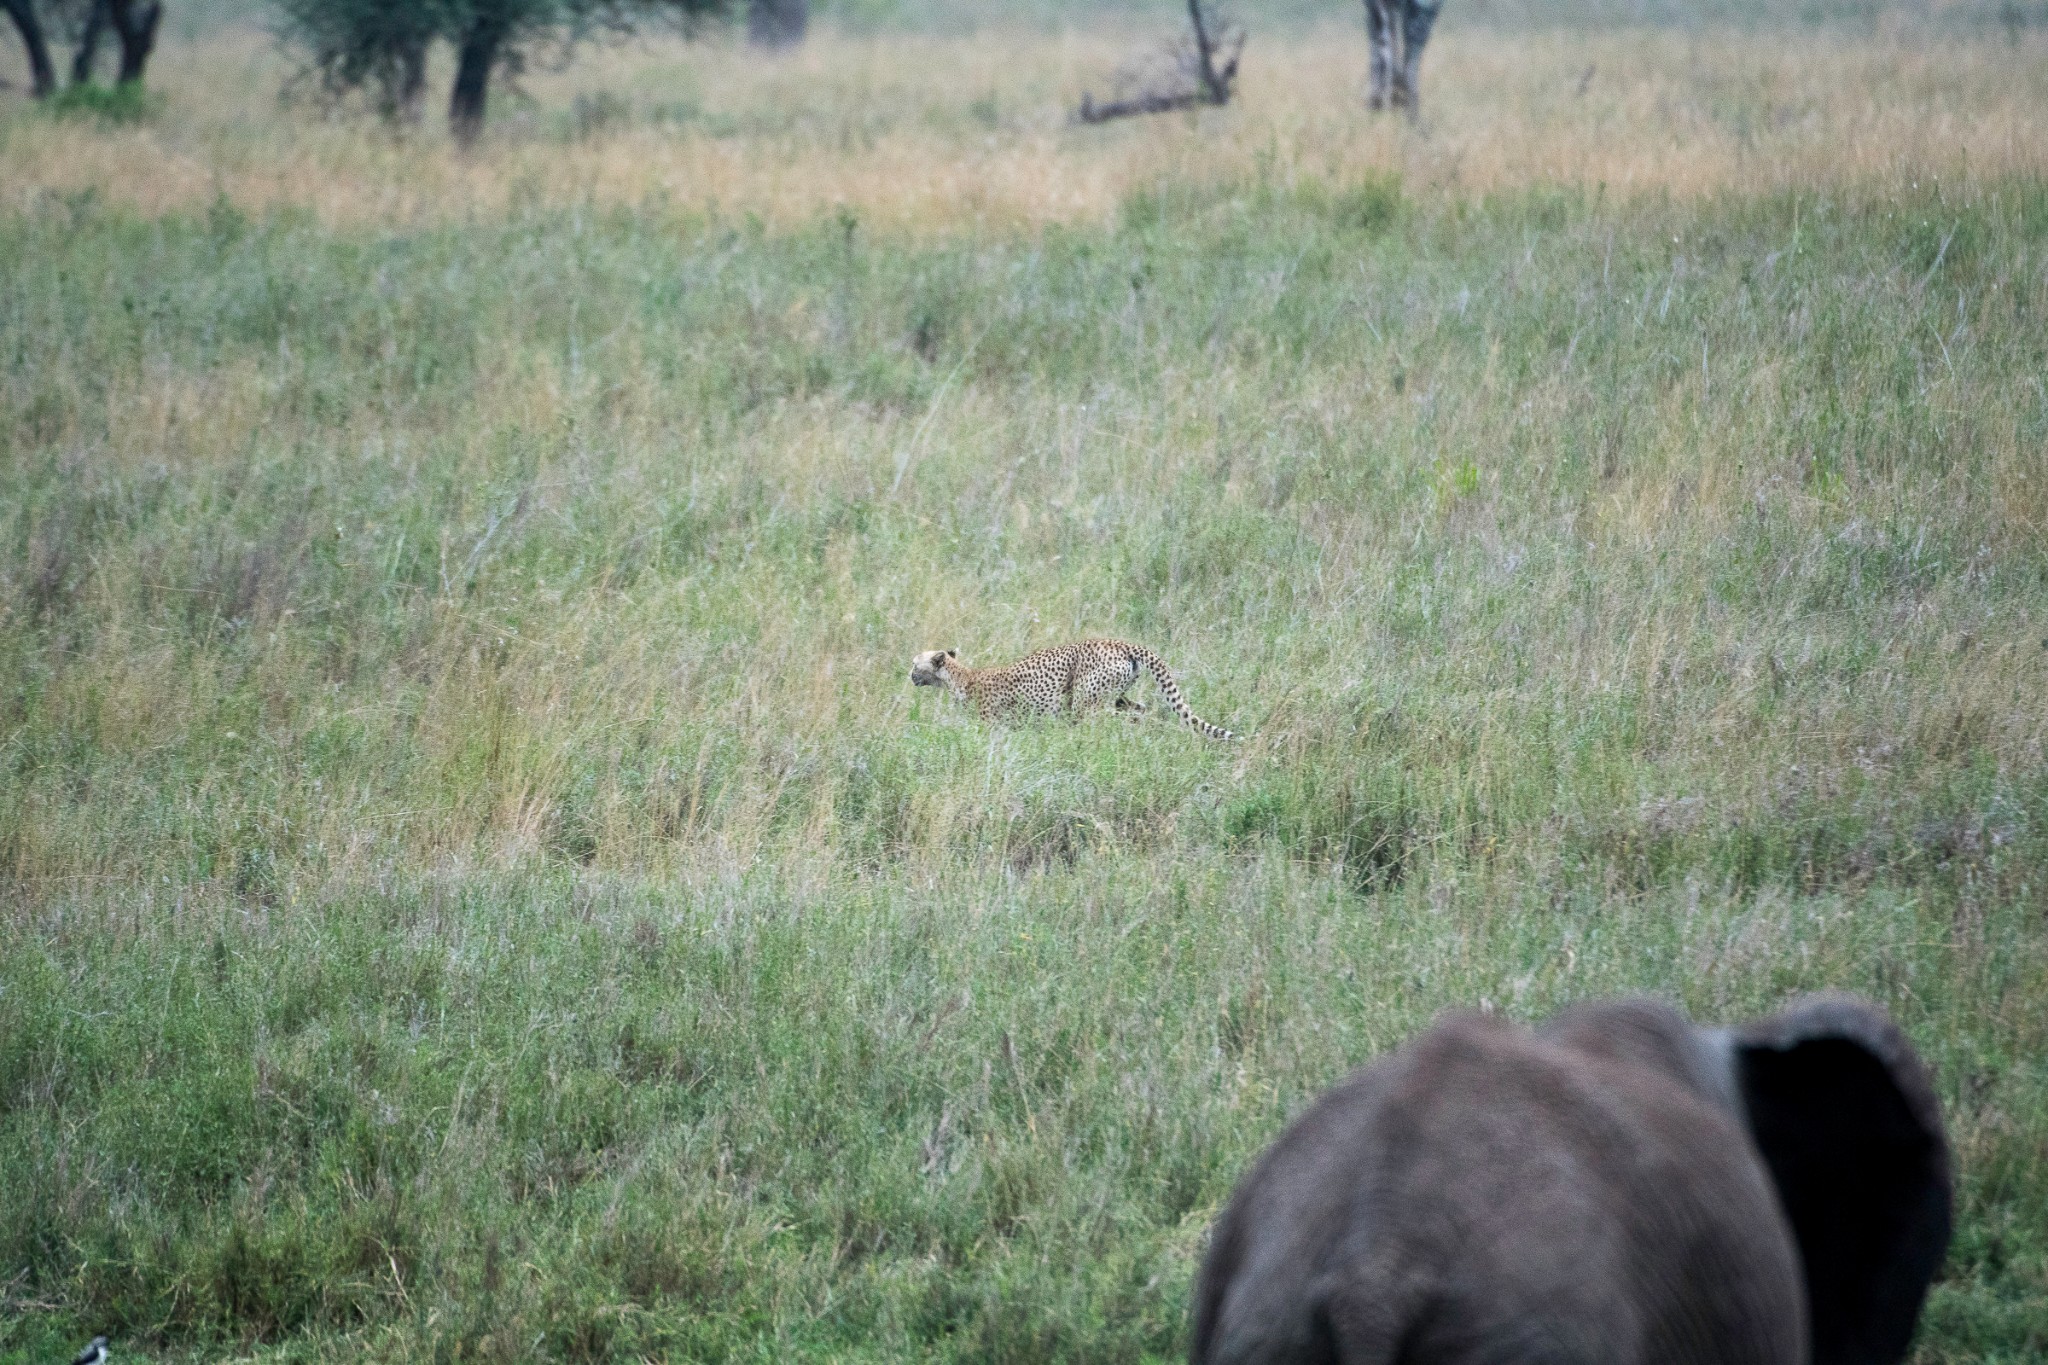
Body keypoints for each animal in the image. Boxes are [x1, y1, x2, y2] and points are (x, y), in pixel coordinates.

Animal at [909, 638, 1228, 740]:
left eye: (915, 664)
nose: (909, 676)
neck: (960, 677)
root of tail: (1121, 643)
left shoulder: (993, 724)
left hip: (1087, 705)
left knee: (1125, 719)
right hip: (1115, 697)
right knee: (1142, 710)